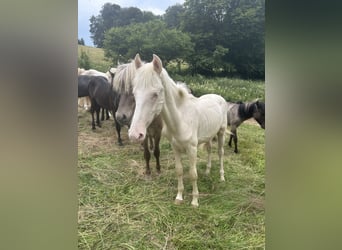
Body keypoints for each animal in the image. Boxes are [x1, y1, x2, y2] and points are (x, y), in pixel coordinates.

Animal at [128, 55, 227, 207]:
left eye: (155, 94)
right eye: (134, 93)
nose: (134, 135)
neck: (180, 119)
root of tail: (218, 96)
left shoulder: (192, 149)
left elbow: (193, 174)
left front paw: (194, 201)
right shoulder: (175, 147)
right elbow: (179, 171)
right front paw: (179, 197)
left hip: (221, 132)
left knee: (220, 152)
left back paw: (222, 177)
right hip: (209, 135)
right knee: (210, 150)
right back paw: (207, 171)